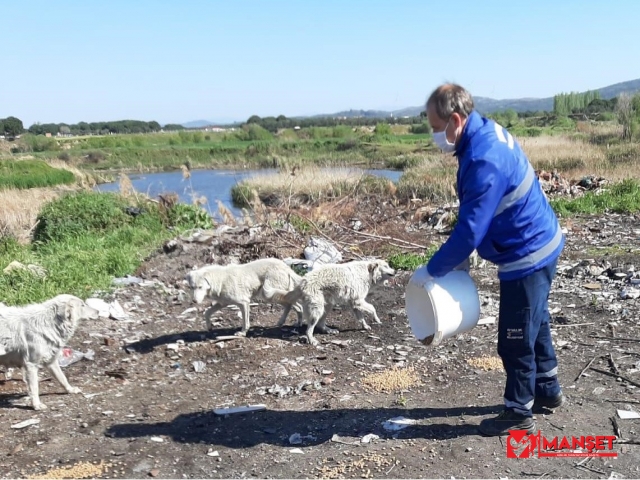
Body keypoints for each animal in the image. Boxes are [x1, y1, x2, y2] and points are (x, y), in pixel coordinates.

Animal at [262, 258, 396, 344]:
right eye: (386, 266)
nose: (395, 271)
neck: (367, 273)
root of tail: (303, 281)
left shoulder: (354, 303)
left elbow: (361, 318)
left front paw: (366, 326)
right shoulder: (358, 301)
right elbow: (373, 308)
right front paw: (377, 320)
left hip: (327, 306)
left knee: (320, 324)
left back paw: (329, 331)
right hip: (317, 309)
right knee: (310, 328)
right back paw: (312, 340)